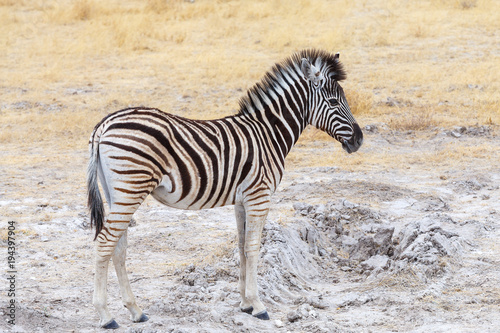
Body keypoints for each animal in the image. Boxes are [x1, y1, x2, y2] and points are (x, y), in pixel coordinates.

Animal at [87, 48, 364, 328]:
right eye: (333, 102)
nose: (359, 140)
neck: (269, 134)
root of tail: (105, 124)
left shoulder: (242, 200)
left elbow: (241, 247)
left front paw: (245, 304)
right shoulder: (259, 196)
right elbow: (253, 248)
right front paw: (259, 305)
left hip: (117, 193)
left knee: (118, 248)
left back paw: (136, 310)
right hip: (131, 187)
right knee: (104, 244)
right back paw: (106, 315)